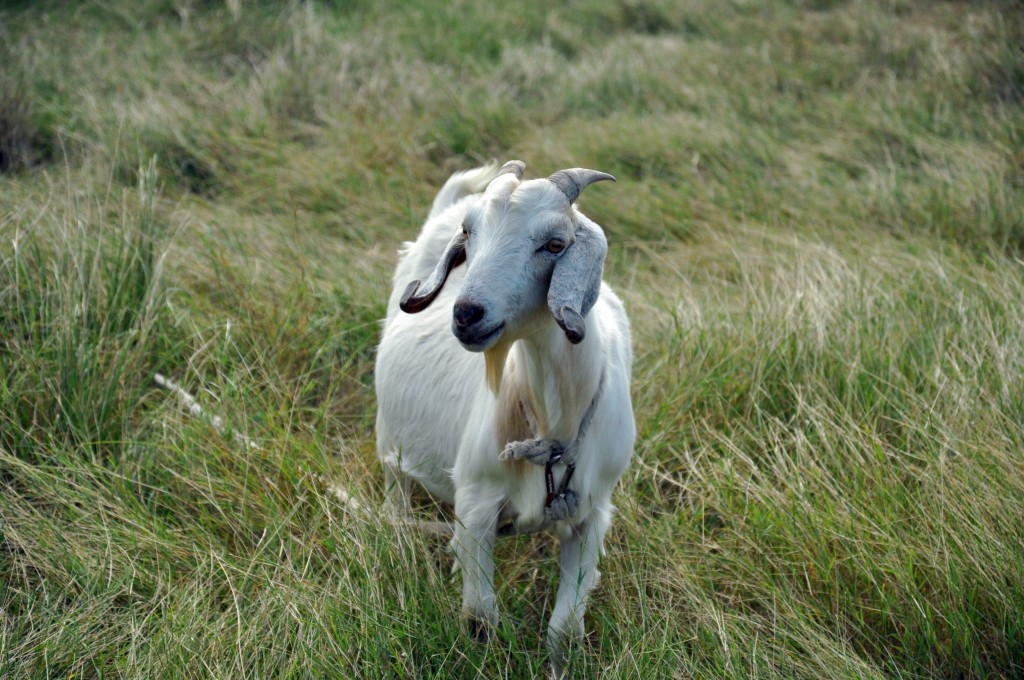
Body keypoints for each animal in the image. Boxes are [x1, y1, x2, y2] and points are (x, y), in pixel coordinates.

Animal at [374, 160, 635, 676]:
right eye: (469, 233)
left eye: (554, 244)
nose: (466, 314)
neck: (553, 425)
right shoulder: (476, 503)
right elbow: (480, 619)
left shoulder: (592, 514)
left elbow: (565, 630)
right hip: (390, 441)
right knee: (396, 493)